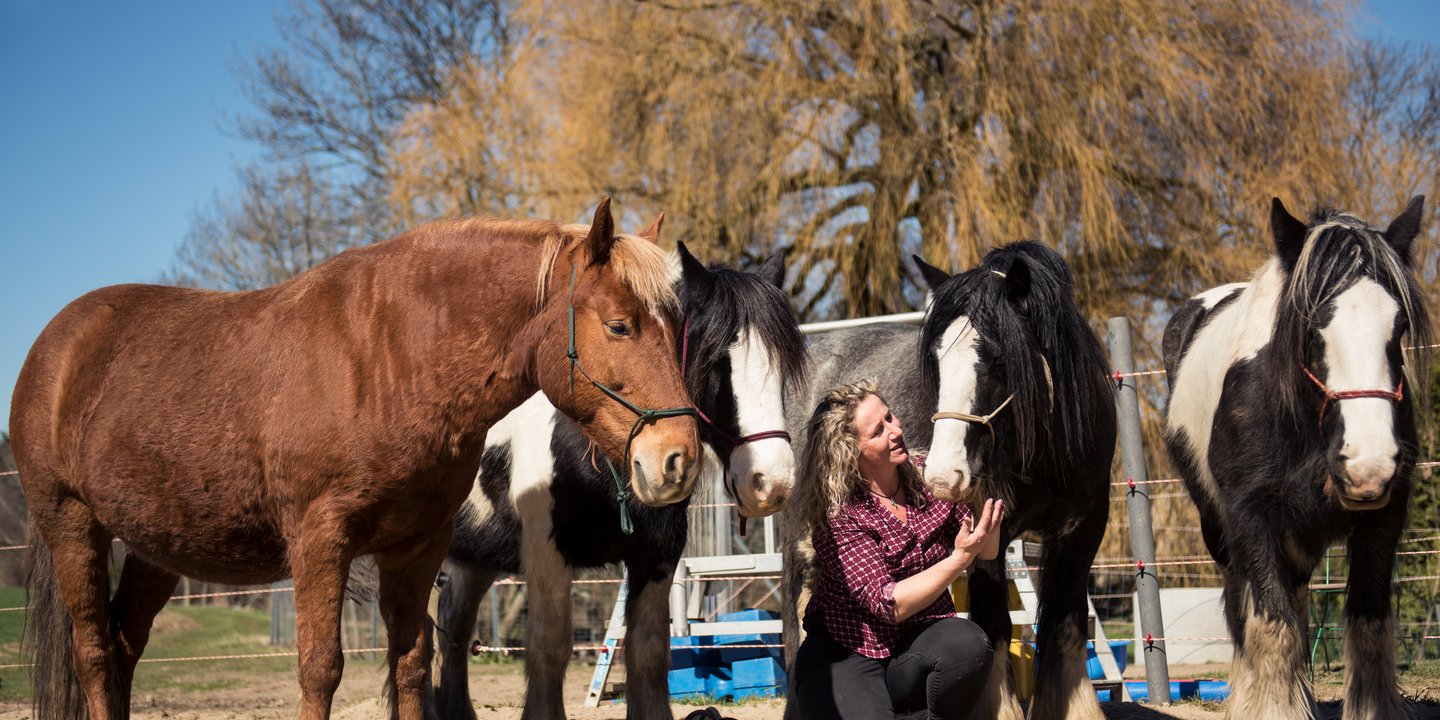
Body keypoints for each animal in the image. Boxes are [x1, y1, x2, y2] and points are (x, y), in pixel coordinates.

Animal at [8, 198, 705, 720]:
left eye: (678, 328)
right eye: (618, 325)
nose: (676, 460)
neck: (387, 359)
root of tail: (56, 344)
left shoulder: (417, 547)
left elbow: (411, 663)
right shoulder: (320, 542)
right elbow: (320, 668)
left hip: (155, 547)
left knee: (124, 647)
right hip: (72, 525)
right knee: (95, 653)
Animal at [432, 240, 806, 720]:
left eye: (782, 365)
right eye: (716, 361)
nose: (772, 482)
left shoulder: (657, 555)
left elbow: (648, 651)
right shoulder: (547, 553)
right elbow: (549, 649)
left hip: (475, 557)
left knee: (453, 624)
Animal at [783, 241, 1117, 720]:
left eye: (1000, 359)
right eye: (936, 363)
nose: (943, 475)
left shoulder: (1083, 530)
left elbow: (1066, 626)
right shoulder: (988, 533)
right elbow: (993, 622)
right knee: (800, 609)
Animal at [1169, 197, 1428, 720]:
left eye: (1400, 327)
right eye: (1311, 328)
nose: (1367, 466)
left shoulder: (1384, 517)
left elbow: (1368, 623)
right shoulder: (1251, 515)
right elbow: (1271, 622)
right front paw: (1270, 707)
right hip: (1218, 528)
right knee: (1242, 605)